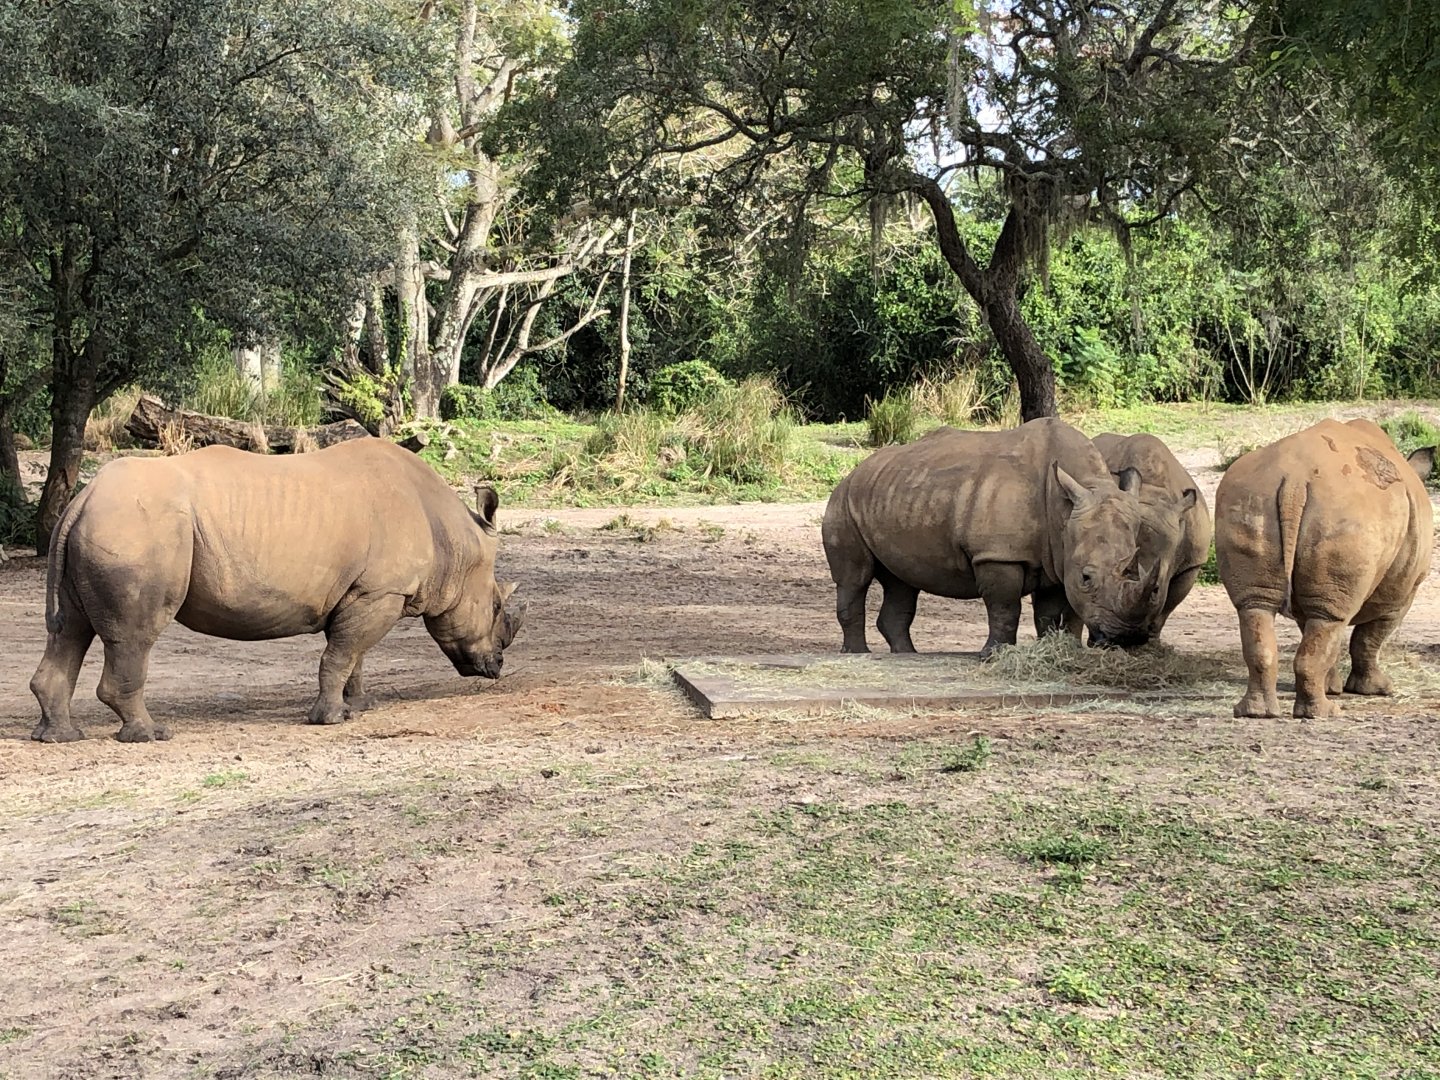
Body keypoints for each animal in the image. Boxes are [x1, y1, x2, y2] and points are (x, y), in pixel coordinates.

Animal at [29, 438, 525, 743]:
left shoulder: (366, 592)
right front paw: (329, 720)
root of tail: (82, 499)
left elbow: (355, 656)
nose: (497, 668)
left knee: (70, 629)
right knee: (134, 635)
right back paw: (151, 735)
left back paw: (59, 737)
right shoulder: (381, 592)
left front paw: (360, 707)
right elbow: (342, 655)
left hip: (105, 527)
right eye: (496, 606)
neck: (455, 541)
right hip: (137, 529)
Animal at [821, 417, 1164, 656]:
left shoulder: (1058, 557)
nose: (1128, 637)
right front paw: (994, 654)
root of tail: (856, 470)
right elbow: (1004, 607)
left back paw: (907, 654)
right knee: (855, 577)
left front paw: (1054, 649)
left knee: (902, 581)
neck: (1064, 509)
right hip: (843, 502)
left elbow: (1050, 613)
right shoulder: (998, 555)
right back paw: (857, 654)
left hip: (893, 494)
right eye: (1087, 578)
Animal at [1215, 418, 1433, 719]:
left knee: (1258, 607)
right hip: (1347, 513)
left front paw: (1333, 687)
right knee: (1330, 619)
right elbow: (1370, 637)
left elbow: (1320, 632)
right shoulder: (1401, 592)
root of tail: (1295, 479)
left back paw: (1257, 713)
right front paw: (1377, 689)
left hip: (1249, 497)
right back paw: (1324, 714)